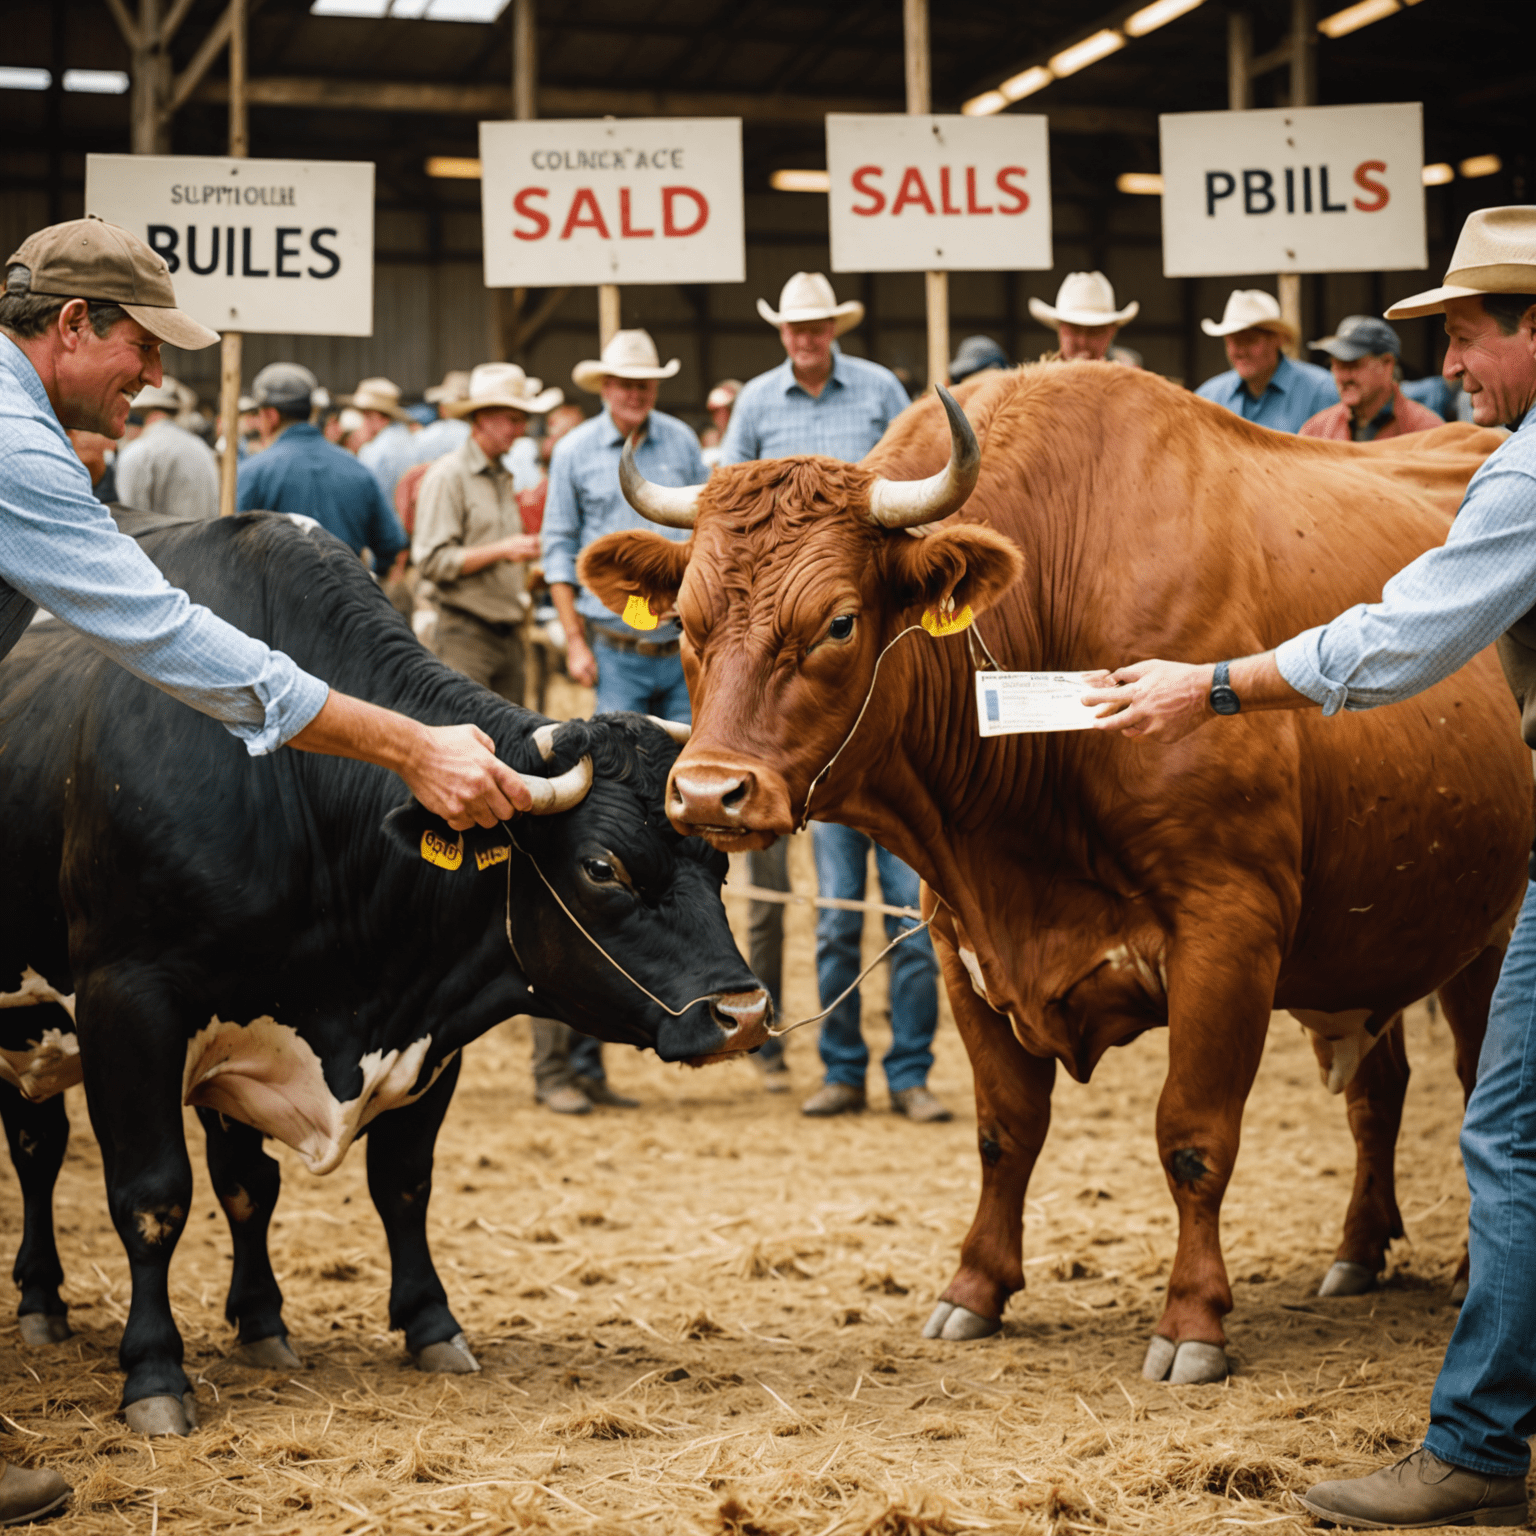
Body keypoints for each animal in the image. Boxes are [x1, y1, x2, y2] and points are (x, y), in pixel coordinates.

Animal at [0, 509, 768, 1431]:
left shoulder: (425, 1025)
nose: (745, 1014)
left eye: (718, 860)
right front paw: (154, 1372)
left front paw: (418, 1324)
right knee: (40, 1149)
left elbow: (383, 1183)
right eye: (601, 867)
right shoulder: (130, 1005)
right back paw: (43, 1302)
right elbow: (154, 1197)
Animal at [577, 365, 1523, 1388]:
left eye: (838, 622)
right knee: (1376, 1089)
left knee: (1471, 1078)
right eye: (688, 622)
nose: (710, 791)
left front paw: (1193, 1319)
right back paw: (1356, 1252)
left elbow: (1193, 1137)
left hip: (1488, 934)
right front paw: (975, 1289)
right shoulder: (963, 940)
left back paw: (1465, 1269)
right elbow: (1005, 1132)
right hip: (1371, 942)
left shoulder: (1229, 931)